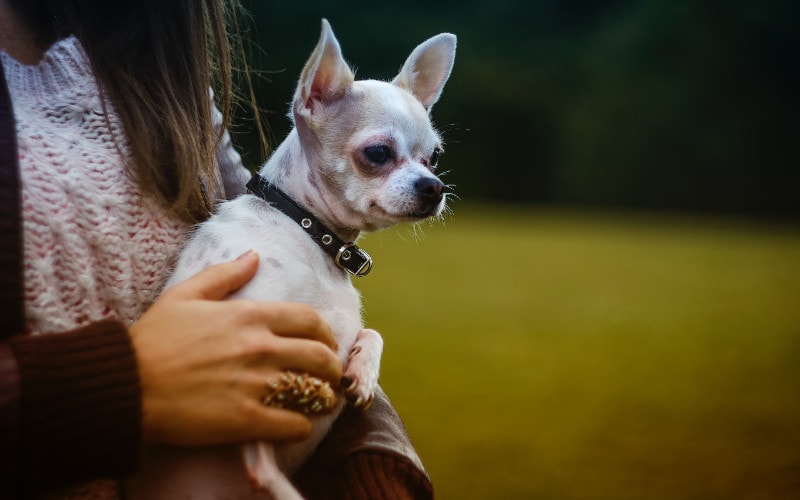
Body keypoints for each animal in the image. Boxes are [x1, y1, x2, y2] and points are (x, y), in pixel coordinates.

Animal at [124, 18, 454, 496]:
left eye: (435, 157)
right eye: (378, 153)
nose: (434, 187)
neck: (308, 232)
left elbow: (373, 333)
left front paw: (363, 370)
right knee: (256, 455)